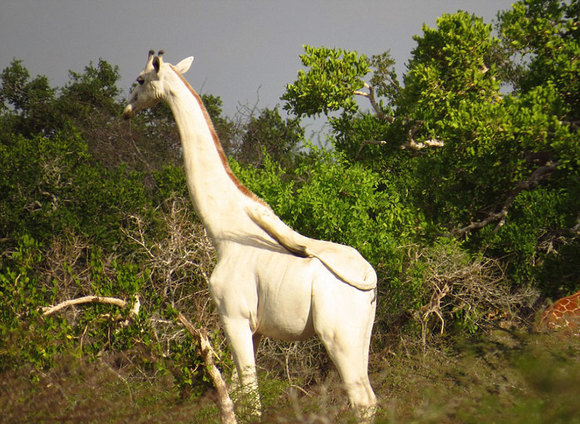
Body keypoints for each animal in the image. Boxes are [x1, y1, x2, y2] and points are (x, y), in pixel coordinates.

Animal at [123, 50, 376, 418]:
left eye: (140, 80)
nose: (126, 109)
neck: (225, 233)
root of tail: (370, 278)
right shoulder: (253, 328)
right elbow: (237, 396)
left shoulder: (234, 315)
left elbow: (250, 400)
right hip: (361, 335)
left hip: (337, 334)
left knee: (362, 401)